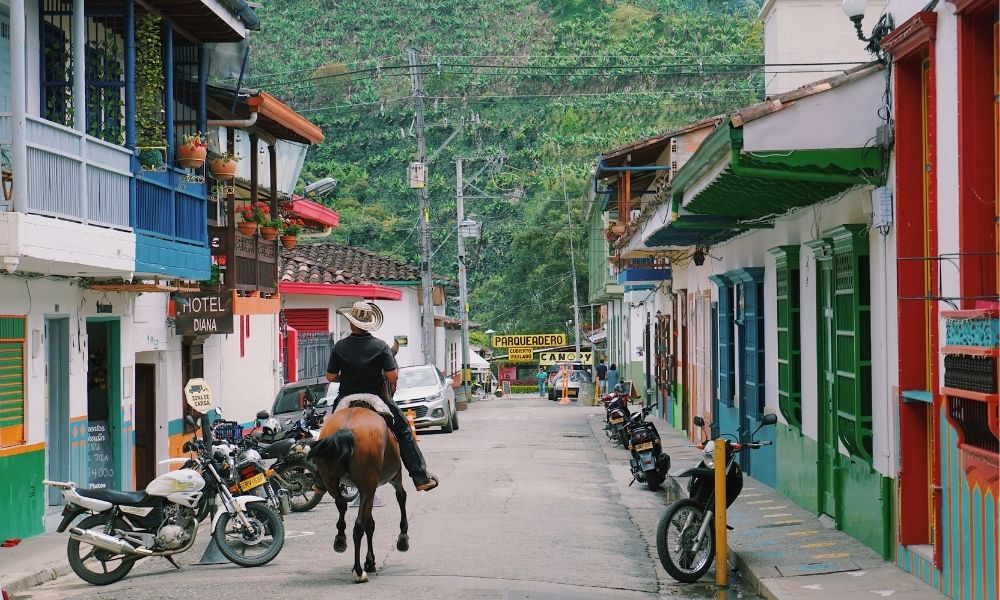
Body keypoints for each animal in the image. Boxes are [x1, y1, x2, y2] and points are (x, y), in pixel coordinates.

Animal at [310, 398, 408, 580]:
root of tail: (346, 430)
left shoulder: (367, 490)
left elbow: (370, 522)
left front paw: (370, 561)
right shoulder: (392, 479)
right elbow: (401, 497)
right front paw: (402, 539)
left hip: (330, 480)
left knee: (341, 504)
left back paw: (340, 539)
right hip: (369, 484)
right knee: (359, 526)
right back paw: (358, 571)